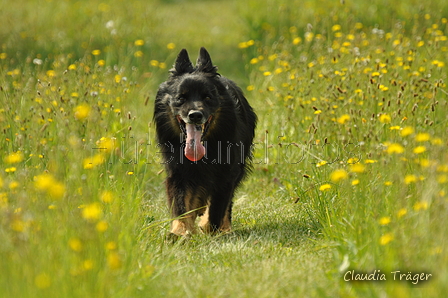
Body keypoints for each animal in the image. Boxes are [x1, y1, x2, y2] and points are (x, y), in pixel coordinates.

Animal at [155, 47, 256, 236]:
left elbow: (217, 208)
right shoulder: (179, 172)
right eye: (181, 98)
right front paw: (180, 232)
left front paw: (209, 227)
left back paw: (224, 227)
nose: (195, 115)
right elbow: (180, 205)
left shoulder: (227, 173)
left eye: (207, 97)